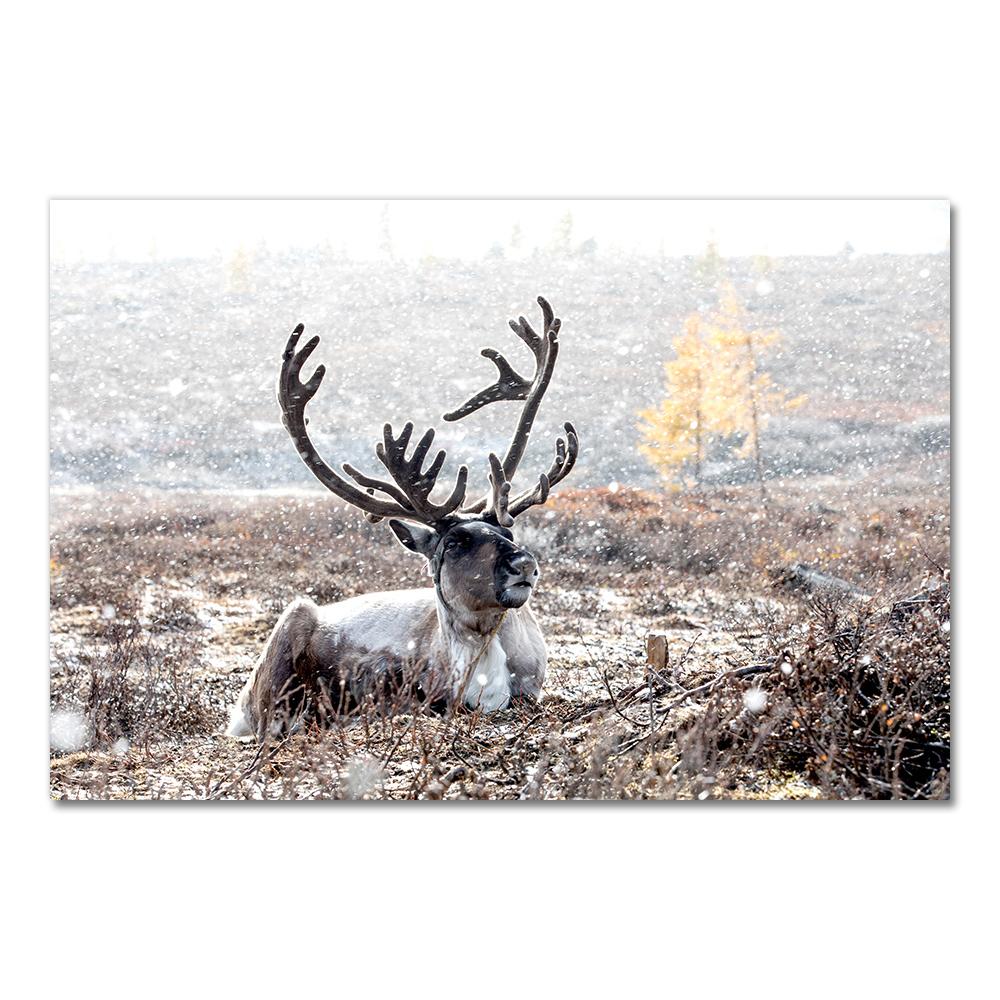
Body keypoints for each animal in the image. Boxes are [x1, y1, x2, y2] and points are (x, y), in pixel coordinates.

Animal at [226, 296, 579, 741]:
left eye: (507, 530)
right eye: (454, 543)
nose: (524, 564)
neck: (482, 648)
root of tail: (238, 707)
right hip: (290, 627)